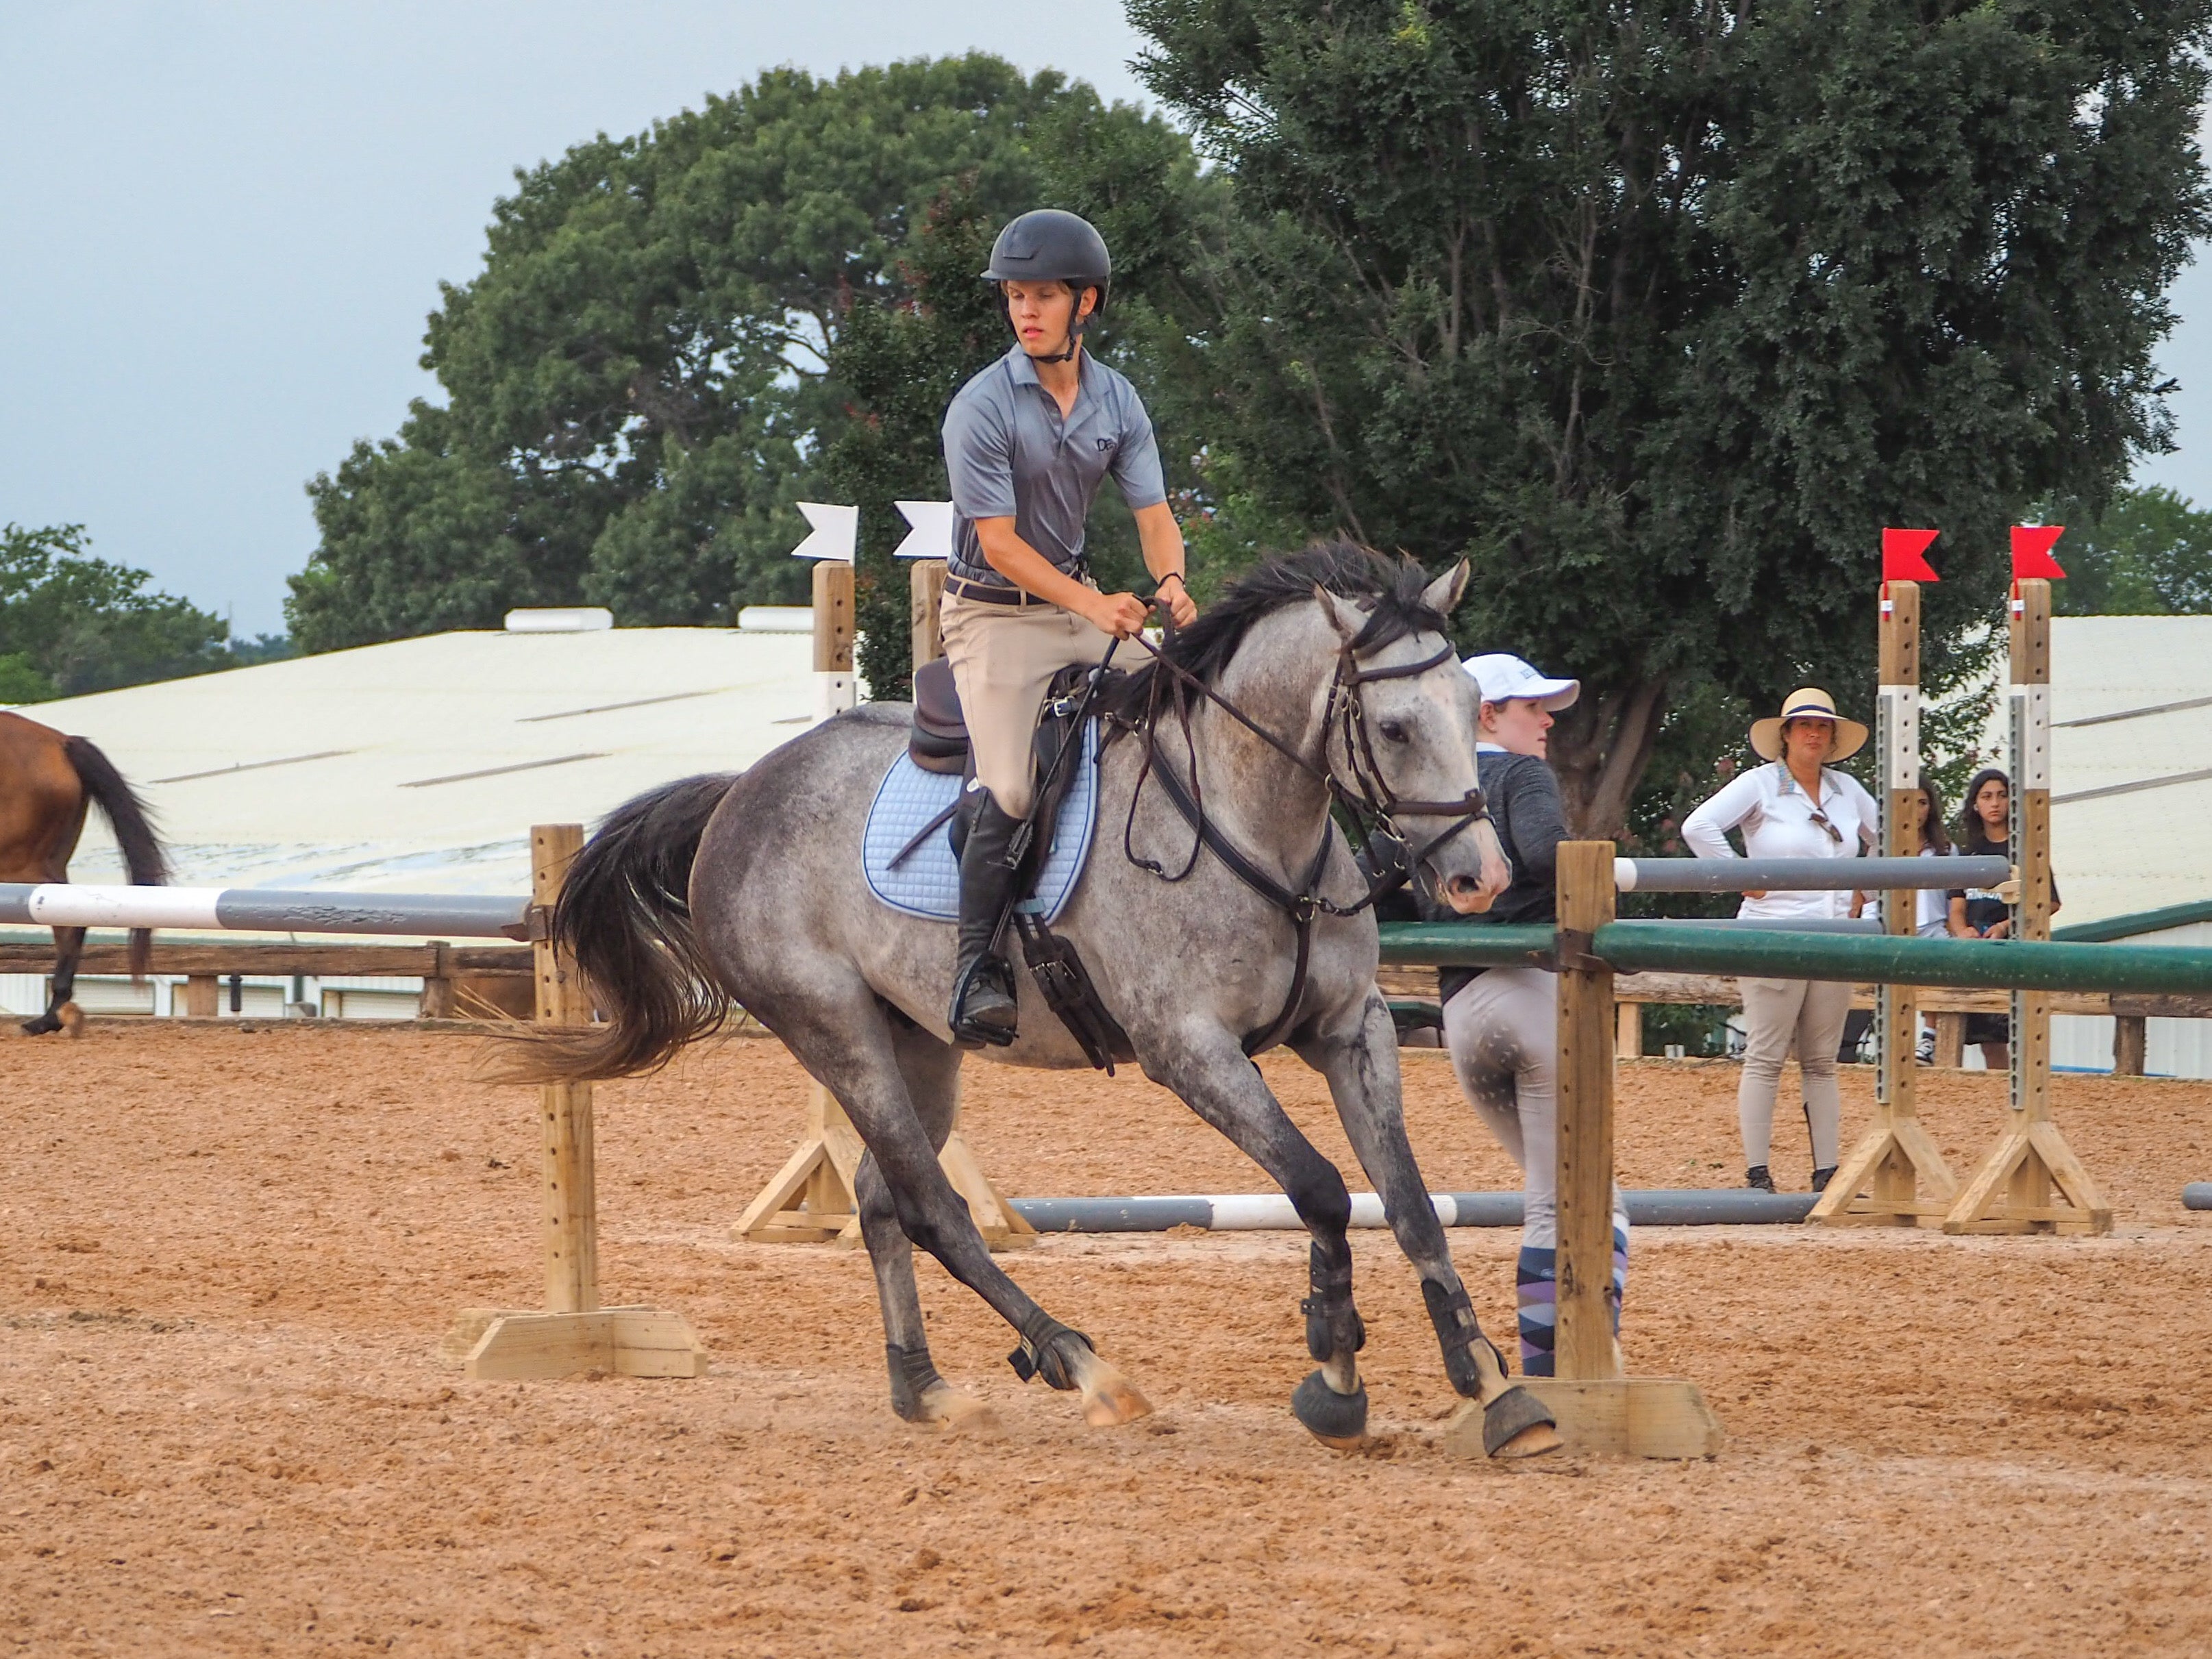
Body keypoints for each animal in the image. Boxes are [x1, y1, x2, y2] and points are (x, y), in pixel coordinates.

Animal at [533, 546, 1566, 1451]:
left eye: (1471, 704)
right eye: (1393, 728)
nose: (1479, 877)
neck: (1252, 823)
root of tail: (742, 790)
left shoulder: (1352, 1031)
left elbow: (1408, 1203)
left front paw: (1494, 1388)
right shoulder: (1190, 1050)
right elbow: (1317, 1188)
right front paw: (1335, 1375)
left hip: (919, 1039)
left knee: (880, 1200)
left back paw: (926, 1389)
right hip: (835, 1029)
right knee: (932, 1208)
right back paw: (1081, 1364)